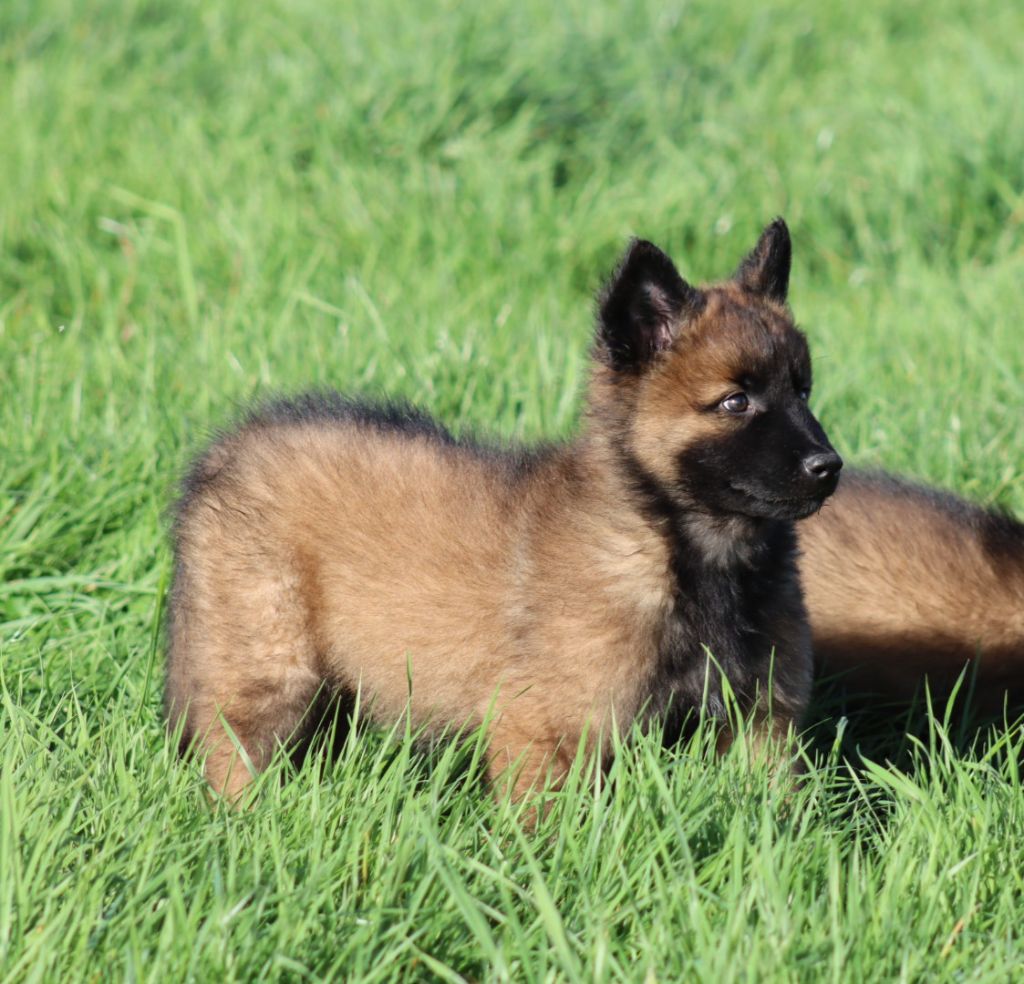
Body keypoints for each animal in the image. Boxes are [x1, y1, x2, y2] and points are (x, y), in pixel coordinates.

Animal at [167, 219, 839, 802]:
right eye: (734, 402)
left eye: (802, 389)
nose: (828, 466)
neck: (685, 546)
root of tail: (227, 449)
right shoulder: (546, 730)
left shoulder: (761, 725)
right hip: (267, 661)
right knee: (235, 750)